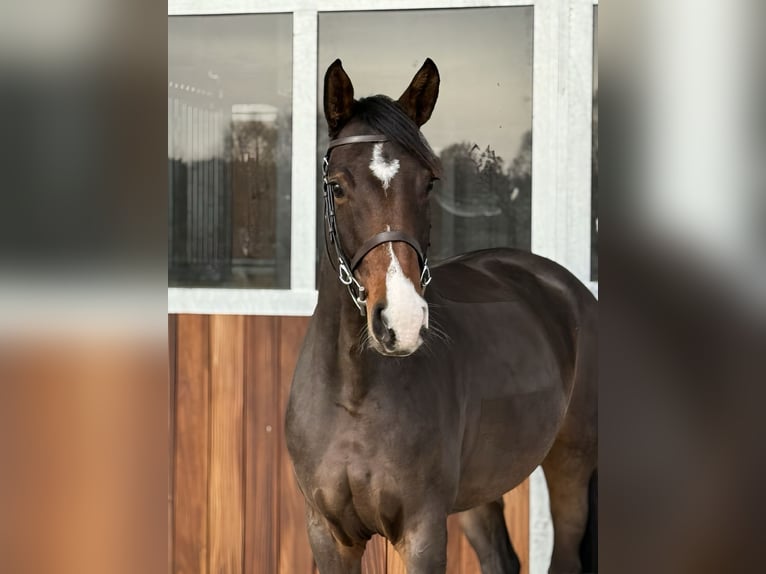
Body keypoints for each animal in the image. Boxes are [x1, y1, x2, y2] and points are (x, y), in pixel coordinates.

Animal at [285, 58, 597, 574]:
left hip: (572, 467)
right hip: (479, 490)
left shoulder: (422, 530)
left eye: (428, 182)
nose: (402, 322)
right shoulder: (328, 536)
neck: (354, 394)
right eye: (337, 186)